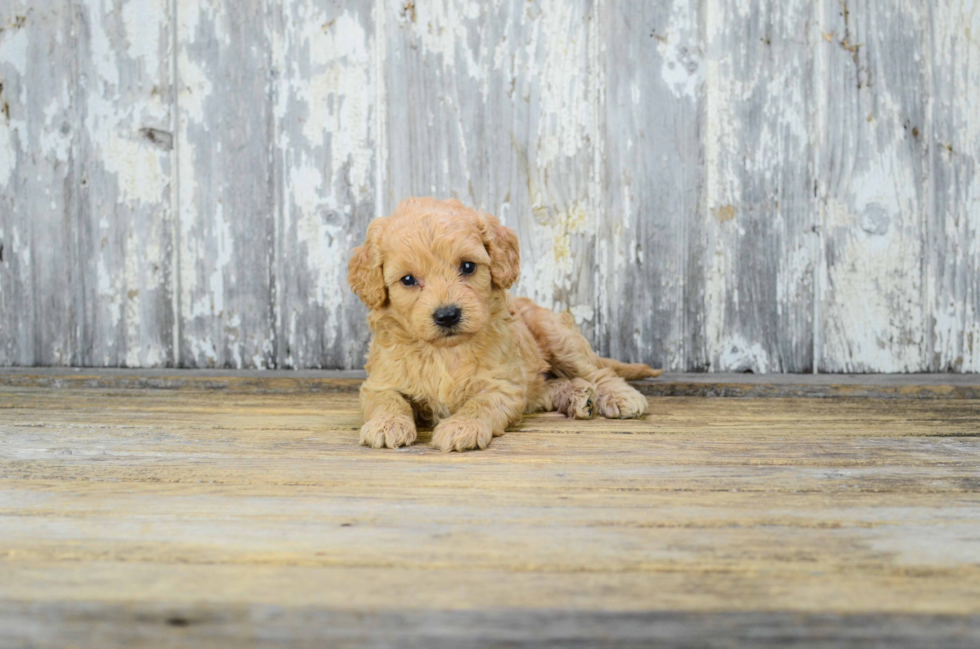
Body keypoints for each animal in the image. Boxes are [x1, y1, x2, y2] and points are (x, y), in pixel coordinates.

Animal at [348, 197, 664, 450]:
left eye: (467, 266)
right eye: (408, 280)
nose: (447, 315)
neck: (444, 352)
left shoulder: (501, 385)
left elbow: (479, 404)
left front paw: (461, 426)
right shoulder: (380, 382)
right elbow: (388, 400)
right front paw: (386, 424)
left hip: (558, 337)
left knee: (597, 372)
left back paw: (619, 396)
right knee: (545, 388)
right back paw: (576, 396)